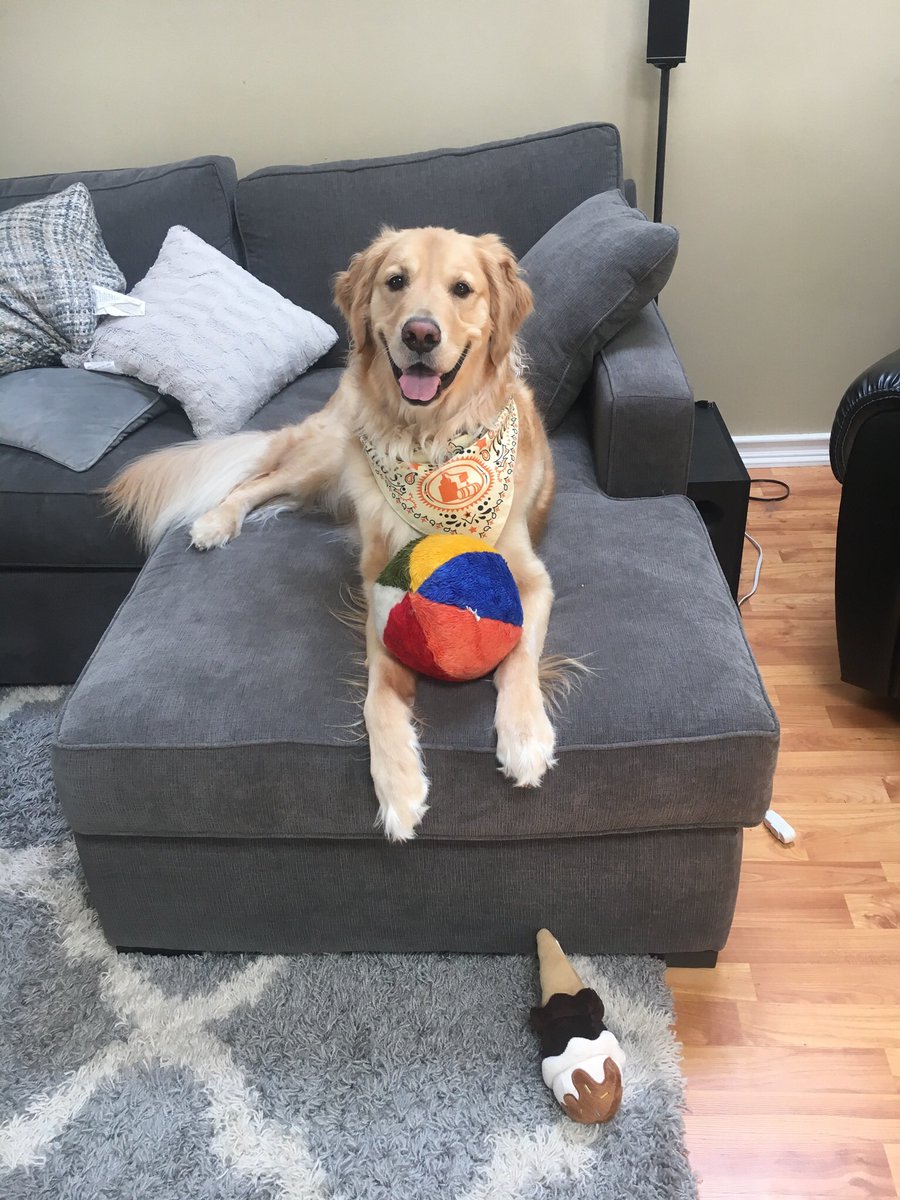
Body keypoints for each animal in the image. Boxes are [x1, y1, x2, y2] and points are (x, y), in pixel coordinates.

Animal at [107, 226, 557, 841]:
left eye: (462, 289)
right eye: (396, 281)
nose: (420, 333)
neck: (430, 441)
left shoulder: (529, 578)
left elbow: (518, 659)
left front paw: (525, 737)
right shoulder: (381, 590)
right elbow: (379, 695)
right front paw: (398, 782)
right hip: (327, 454)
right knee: (255, 480)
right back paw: (215, 521)